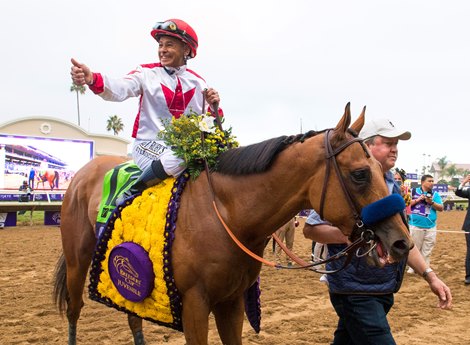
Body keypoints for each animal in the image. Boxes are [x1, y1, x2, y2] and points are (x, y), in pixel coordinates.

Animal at [51, 103, 412, 342]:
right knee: (74, 309)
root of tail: (83, 171)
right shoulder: (194, 305)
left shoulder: (232, 301)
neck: (225, 214)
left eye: (380, 170)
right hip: (78, 260)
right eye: (360, 174)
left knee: (133, 317)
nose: (401, 241)